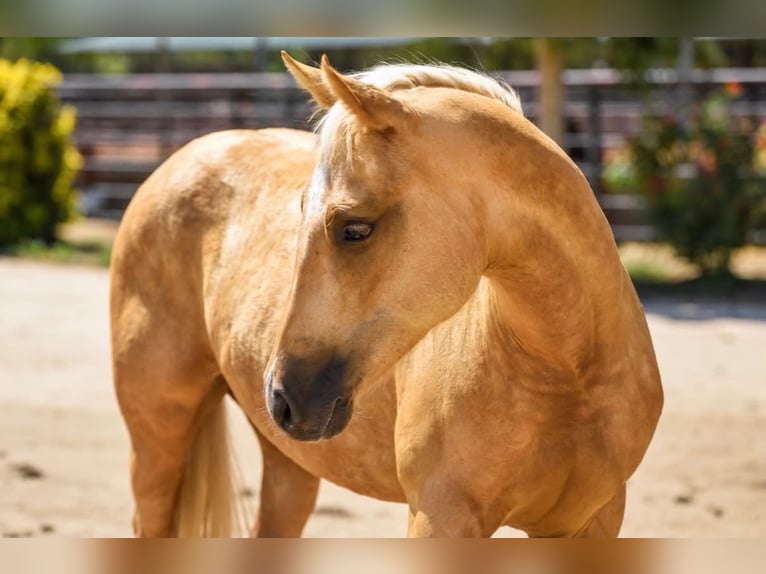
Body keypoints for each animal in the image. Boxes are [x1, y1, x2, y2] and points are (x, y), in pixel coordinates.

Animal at [110, 52, 663, 538]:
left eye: (355, 229)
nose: (283, 396)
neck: (569, 374)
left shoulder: (593, 522)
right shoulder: (441, 517)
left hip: (288, 462)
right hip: (158, 439)